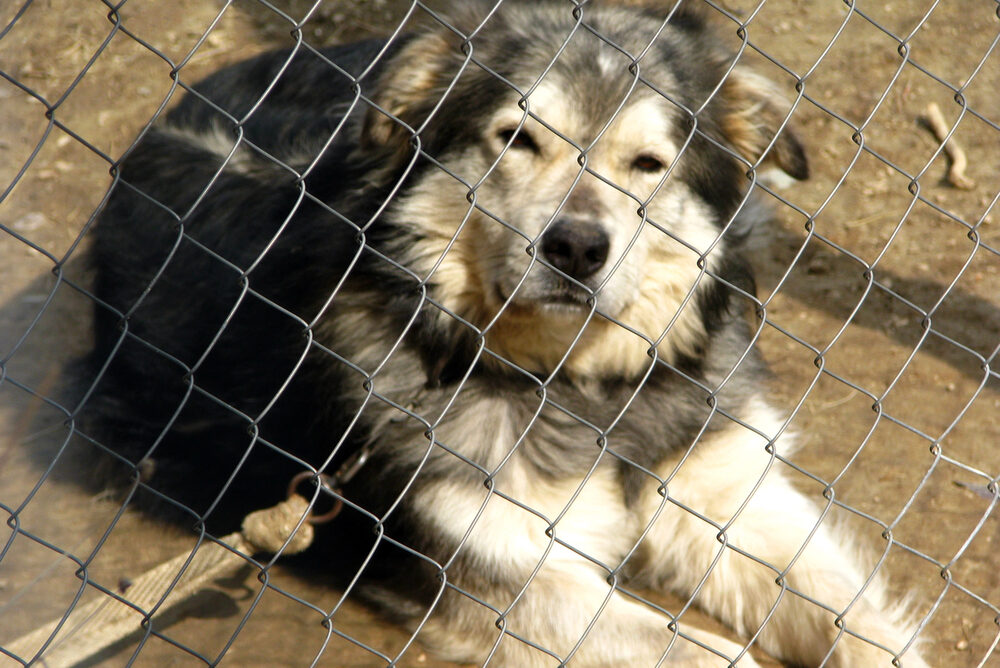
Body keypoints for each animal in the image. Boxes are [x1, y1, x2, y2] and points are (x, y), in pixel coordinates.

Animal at [80, 2, 928, 664]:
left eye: (649, 163)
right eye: (517, 139)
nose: (576, 248)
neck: (579, 386)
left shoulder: (728, 496)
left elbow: (858, 621)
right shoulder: (508, 575)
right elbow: (701, 652)